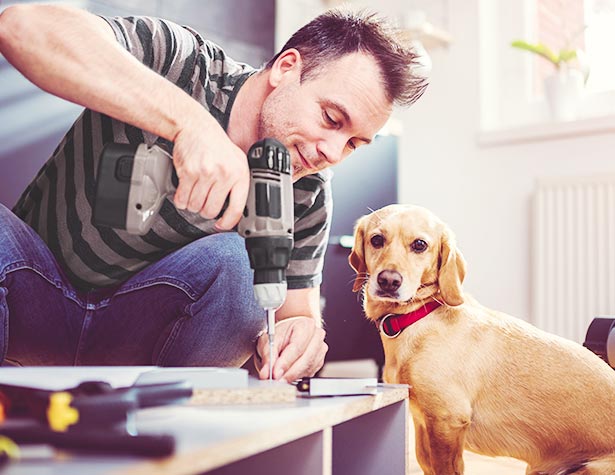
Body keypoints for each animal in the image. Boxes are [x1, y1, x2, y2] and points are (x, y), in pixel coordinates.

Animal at [348, 205, 615, 475]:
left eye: (420, 245)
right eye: (377, 240)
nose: (388, 281)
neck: (418, 315)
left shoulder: (447, 422)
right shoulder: (423, 426)